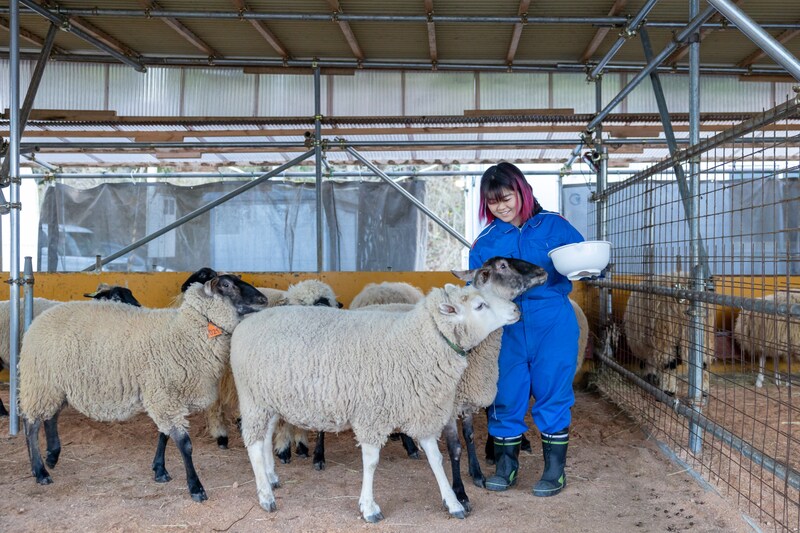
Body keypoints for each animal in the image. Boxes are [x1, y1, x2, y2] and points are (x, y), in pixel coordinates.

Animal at [19, 275, 268, 502]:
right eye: (226, 284)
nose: (263, 299)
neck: (185, 332)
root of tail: (39, 319)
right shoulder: (165, 394)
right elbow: (185, 444)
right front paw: (196, 487)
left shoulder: (166, 394)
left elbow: (164, 435)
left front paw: (160, 470)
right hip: (40, 382)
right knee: (31, 425)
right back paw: (40, 471)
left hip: (55, 384)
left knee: (51, 417)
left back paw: (52, 456)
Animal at [230, 283, 521, 522]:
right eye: (480, 305)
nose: (517, 309)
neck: (414, 343)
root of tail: (245, 324)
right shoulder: (372, 414)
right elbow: (370, 463)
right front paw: (369, 507)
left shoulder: (422, 409)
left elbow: (436, 458)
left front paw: (453, 503)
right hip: (252, 399)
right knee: (254, 445)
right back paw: (266, 496)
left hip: (268, 399)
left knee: (265, 436)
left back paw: (271, 477)